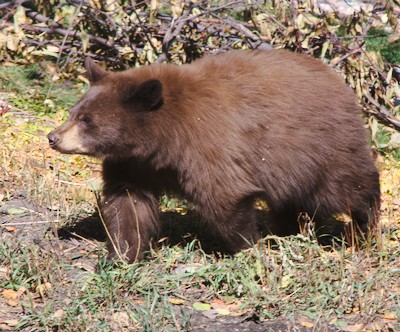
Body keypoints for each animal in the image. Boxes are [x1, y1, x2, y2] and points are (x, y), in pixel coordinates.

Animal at [48, 50, 380, 262]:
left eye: (87, 120)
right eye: (74, 112)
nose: (53, 137)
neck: (161, 139)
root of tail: (340, 82)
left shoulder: (207, 143)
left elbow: (224, 196)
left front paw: (248, 248)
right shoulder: (133, 164)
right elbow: (127, 203)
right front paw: (121, 256)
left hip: (317, 147)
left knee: (347, 187)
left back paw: (365, 227)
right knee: (291, 201)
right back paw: (288, 230)